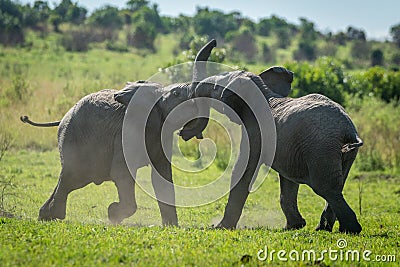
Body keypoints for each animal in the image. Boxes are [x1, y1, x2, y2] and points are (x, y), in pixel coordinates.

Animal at [19, 38, 217, 225]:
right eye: (176, 94)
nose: (214, 42)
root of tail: (62, 118)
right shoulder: (126, 134)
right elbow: (122, 173)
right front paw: (113, 213)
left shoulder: (161, 133)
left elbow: (162, 176)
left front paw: (170, 226)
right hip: (73, 139)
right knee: (71, 175)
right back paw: (54, 215)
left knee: (71, 179)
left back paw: (46, 215)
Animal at [180, 55, 364, 233]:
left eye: (216, 88)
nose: (184, 133)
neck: (262, 90)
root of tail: (348, 130)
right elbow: (288, 181)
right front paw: (294, 226)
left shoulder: (255, 130)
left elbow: (243, 169)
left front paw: (221, 227)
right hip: (341, 153)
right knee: (337, 185)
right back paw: (325, 228)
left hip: (321, 147)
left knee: (325, 187)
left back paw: (350, 229)